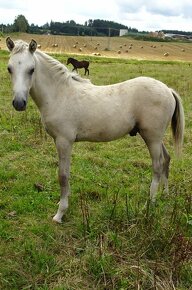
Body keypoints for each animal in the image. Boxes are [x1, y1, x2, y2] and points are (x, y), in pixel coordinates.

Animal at [5, 38, 184, 224]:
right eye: (9, 68)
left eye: (31, 69)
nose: (19, 103)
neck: (60, 94)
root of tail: (168, 89)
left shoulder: (64, 141)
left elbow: (63, 176)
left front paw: (60, 213)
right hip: (155, 138)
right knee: (166, 159)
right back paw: (165, 194)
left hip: (152, 138)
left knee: (157, 166)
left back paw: (149, 204)